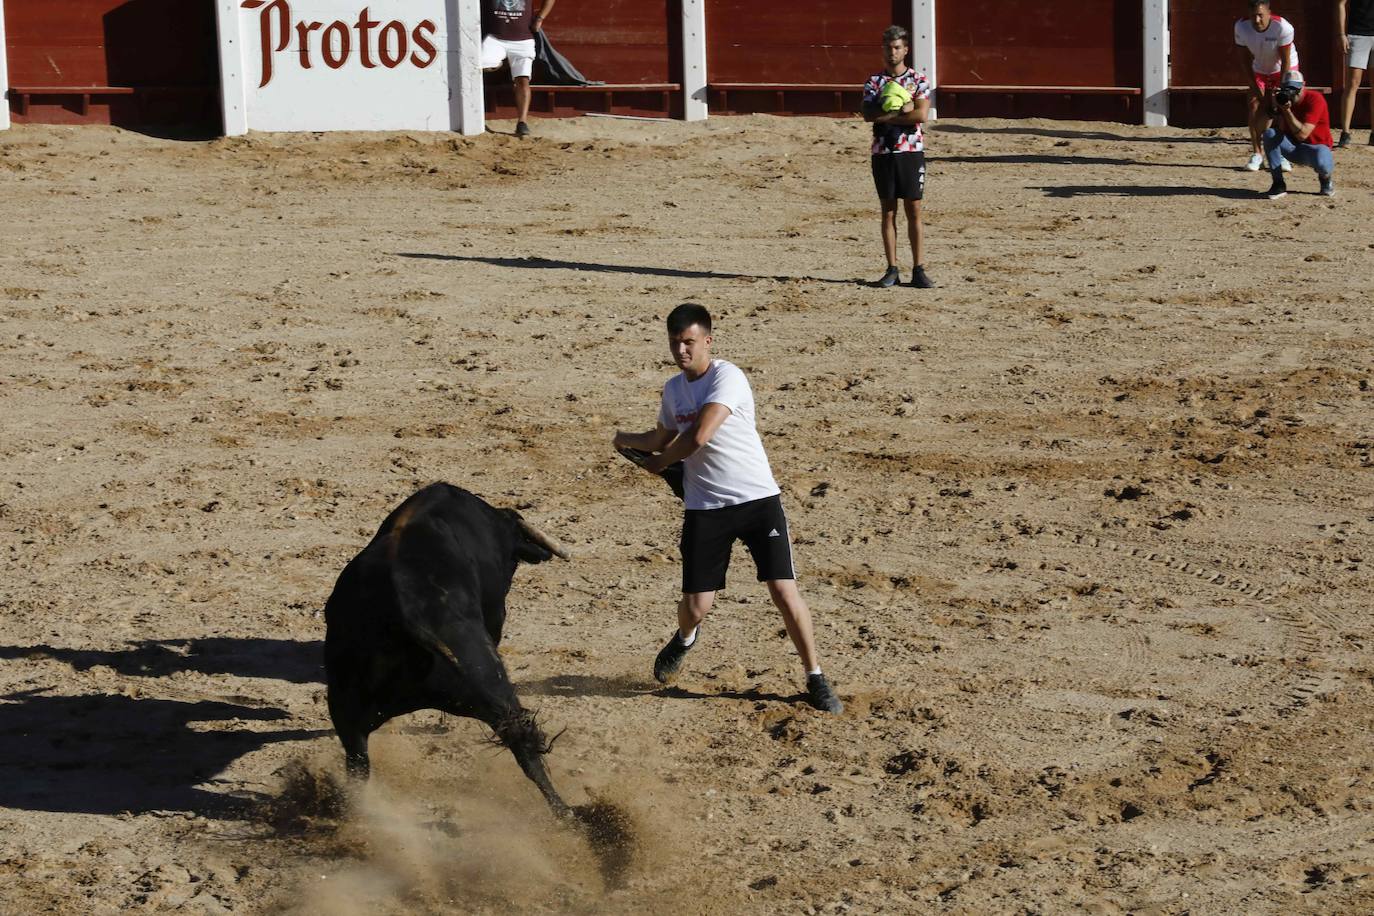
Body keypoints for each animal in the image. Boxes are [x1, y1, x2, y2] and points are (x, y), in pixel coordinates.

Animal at [324, 483, 571, 813]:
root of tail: (405, 615)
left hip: (344, 705)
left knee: (357, 761)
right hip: (488, 676)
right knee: (520, 737)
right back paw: (567, 813)